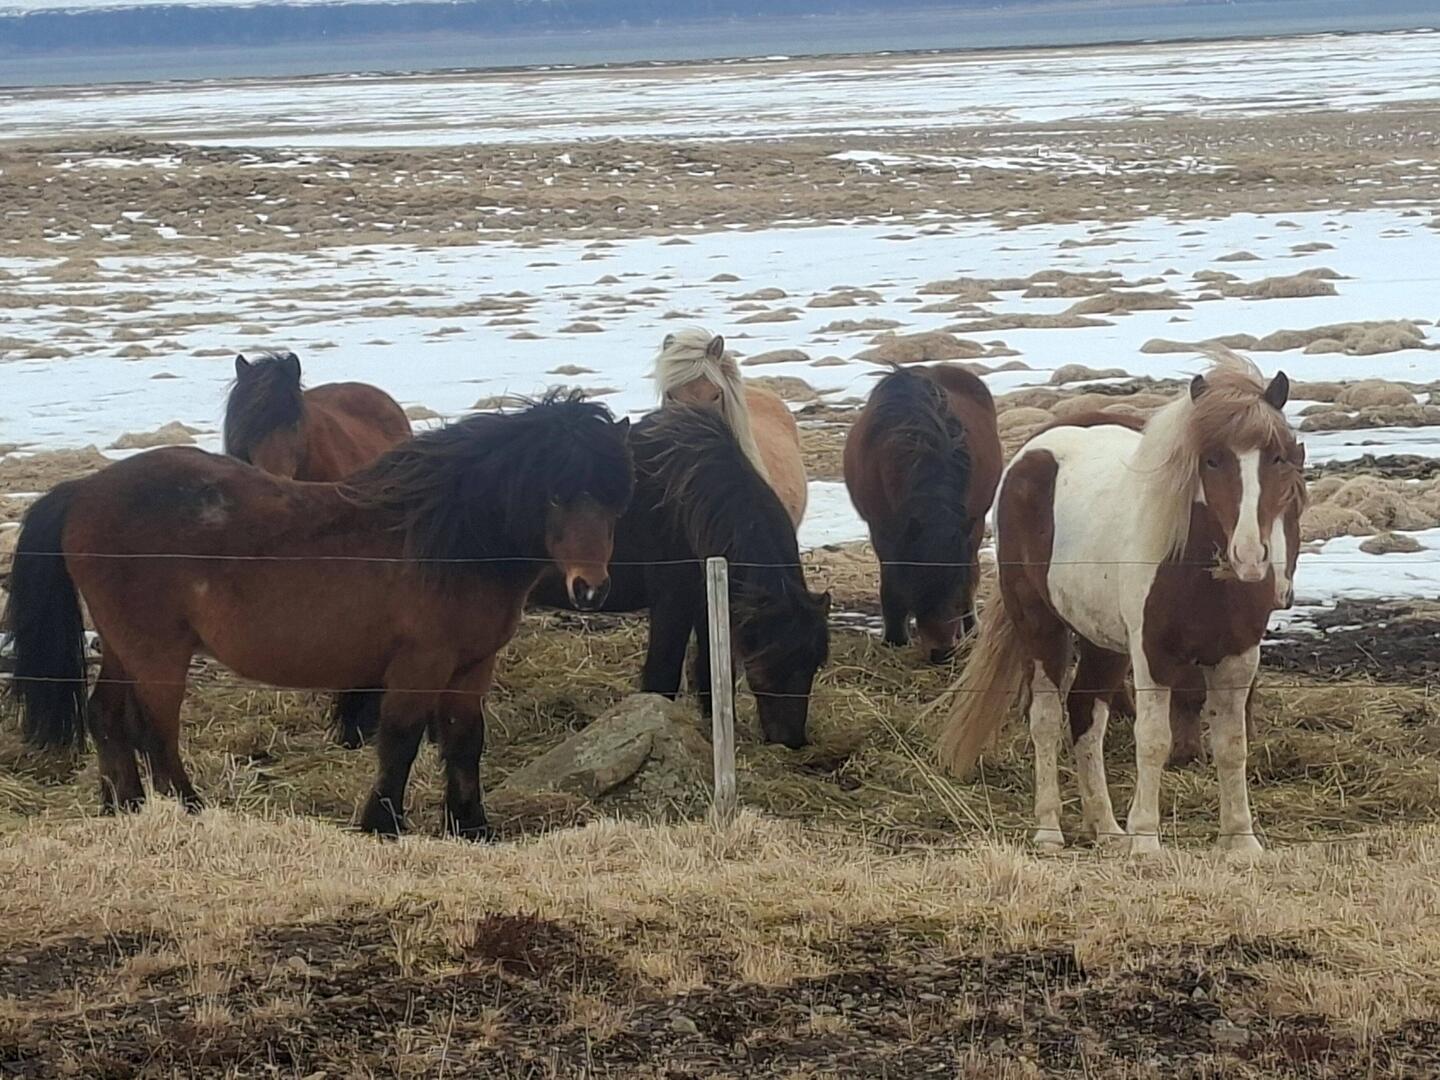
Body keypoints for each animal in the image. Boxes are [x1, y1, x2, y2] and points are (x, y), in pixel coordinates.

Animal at [5, 393, 633, 840]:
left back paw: (127, 809)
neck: (447, 542)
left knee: (107, 718)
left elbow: (463, 742)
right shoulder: (421, 663)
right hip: (158, 653)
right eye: (553, 494)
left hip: (123, 646)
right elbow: (401, 739)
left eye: (613, 498)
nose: (590, 589)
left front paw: (472, 827)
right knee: (153, 731)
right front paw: (382, 824)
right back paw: (191, 810)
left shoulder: (471, 667)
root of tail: (85, 490)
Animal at [530, 406, 831, 749]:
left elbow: (713, 673)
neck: (685, 504)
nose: (792, 740)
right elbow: (663, 677)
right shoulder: (673, 603)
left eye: (813, 664)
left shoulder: (708, 604)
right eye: (772, 662)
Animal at [843, 364, 1002, 662]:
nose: (942, 653)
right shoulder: (883, 531)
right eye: (918, 585)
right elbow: (891, 583)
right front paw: (894, 639)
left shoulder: (970, 526)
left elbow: (969, 578)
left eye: (952, 585)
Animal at [937, 355, 1306, 854]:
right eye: (1211, 459)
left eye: (1277, 457)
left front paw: (1241, 843)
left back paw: (1108, 830)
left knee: (1085, 715)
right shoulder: (1154, 655)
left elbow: (1232, 746)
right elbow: (1152, 740)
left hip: (1104, 643)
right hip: (1041, 627)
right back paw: (1050, 831)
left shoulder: (1237, 658)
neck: (1202, 573)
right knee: (1047, 719)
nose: (1251, 556)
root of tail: (1034, 451)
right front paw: (1146, 840)